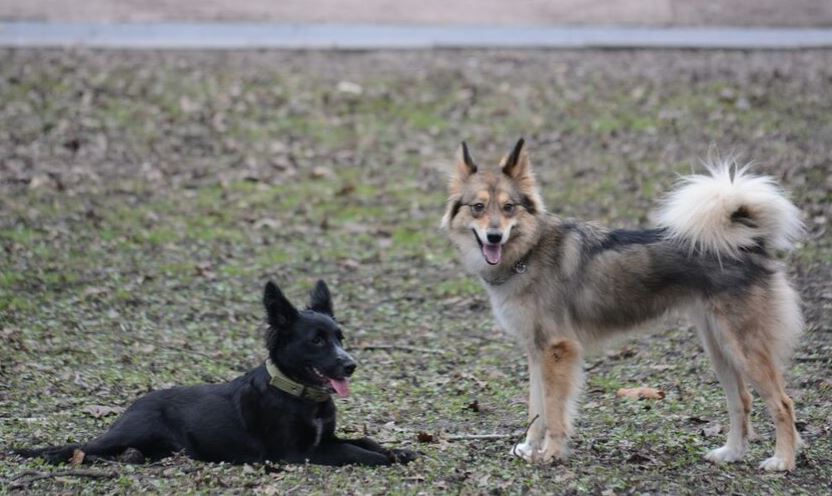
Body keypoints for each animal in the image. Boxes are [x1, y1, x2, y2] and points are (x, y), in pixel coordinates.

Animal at [17, 280, 422, 466]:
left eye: (339, 337)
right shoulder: (298, 452)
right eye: (317, 340)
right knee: (79, 449)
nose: (351, 365)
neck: (297, 393)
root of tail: (134, 405)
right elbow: (356, 451)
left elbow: (366, 440)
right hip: (129, 435)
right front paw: (389, 458)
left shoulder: (325, 438)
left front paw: (399, 449)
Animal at [442, 139, 808, 468]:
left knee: (783, 403)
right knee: (741, 400)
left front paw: (551, 454)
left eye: (509, 208)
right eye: (478, 207)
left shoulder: (557, 350)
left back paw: (782, 461)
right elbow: (537, 407)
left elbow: (555, 410)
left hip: (744, 348)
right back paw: (730, 453)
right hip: (720, 348)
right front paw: (531, 448)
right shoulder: (535, 351)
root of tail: (749, 242)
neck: (528, 253)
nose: (494, 236)